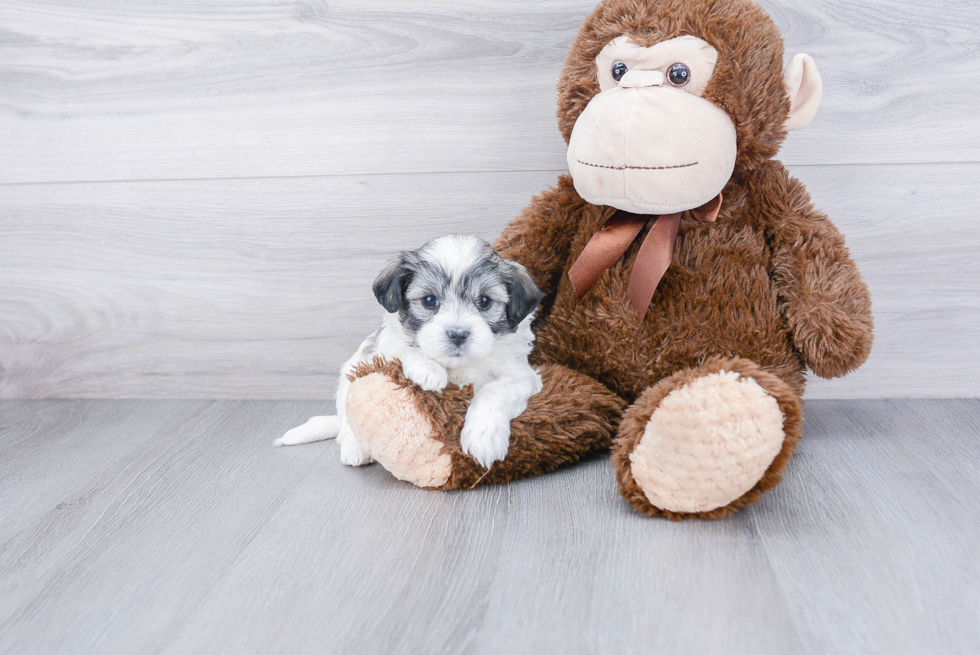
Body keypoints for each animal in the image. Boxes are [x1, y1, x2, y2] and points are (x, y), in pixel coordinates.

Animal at [278, 236, 544, 472]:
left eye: (485, 301)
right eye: (429, 300)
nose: (458, 334)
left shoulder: (521, 375)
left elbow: (493, 392)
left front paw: (483, 438)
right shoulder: (381, 349)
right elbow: (403, 348)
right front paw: (428, 368)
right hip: (349, 377)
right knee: (346, 422)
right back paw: (355, 448)